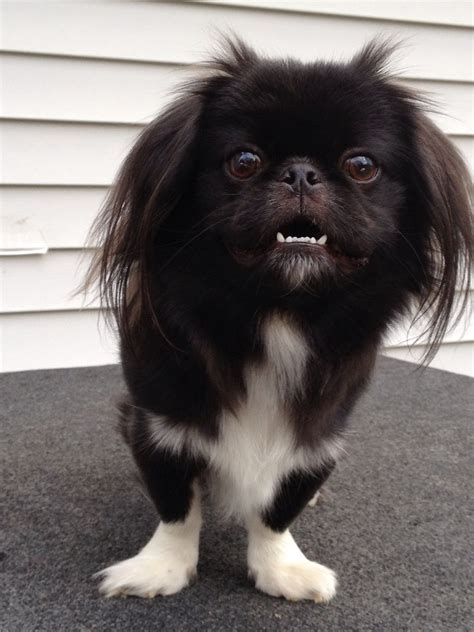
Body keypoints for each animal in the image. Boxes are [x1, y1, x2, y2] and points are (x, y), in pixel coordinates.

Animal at [87, 38, 472, 604]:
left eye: (362, 165)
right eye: (244, 162)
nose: (300, 173)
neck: (278, 314)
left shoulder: (317, 435)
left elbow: (278, 507)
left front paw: (282, 568)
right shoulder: (161, 422)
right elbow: (176, 505)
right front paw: (161, 568)